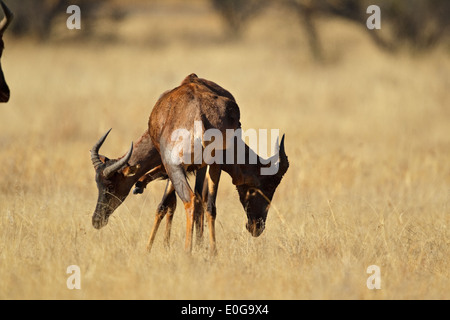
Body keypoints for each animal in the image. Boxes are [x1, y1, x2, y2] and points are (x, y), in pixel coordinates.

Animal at [89, 74, 290, 254]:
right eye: (98, 184)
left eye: (110, 185)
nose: (96, 221)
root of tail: (198, 116)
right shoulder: (203, 166)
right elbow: (199, 201)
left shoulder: (172, 164)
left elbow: (165, 205)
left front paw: (150, 249)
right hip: (215, 162)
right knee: (208, 204)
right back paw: (212, 252)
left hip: (175, 166)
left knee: (189, 200)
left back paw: (187, 253)